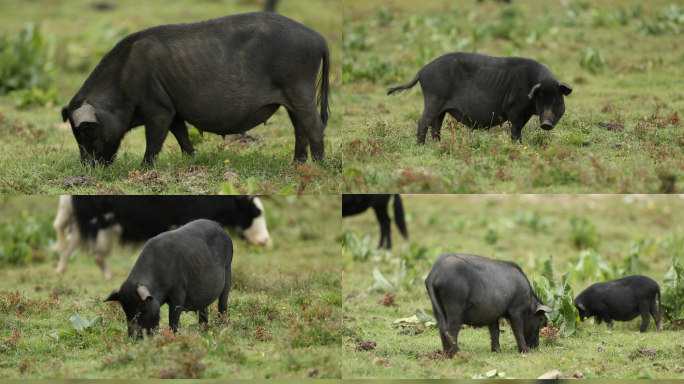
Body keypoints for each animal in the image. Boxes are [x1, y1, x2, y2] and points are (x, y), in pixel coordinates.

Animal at [52, 195, 270, 280]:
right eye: (255, 212)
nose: (265, 241)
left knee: (70, 245)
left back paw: (60, 271)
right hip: (99, 221)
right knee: (94, 252)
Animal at [103, 220, 232, 338]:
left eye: (141, 307)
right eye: (125, 310)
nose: (133, 336)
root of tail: (221, 228)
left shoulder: (179, 289)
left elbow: (173, 316)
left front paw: (172, 335)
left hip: (228, 268)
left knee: (223, 300)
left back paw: (222, 325)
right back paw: (202, 327)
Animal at [390, 53, 572, 143]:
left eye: (556, 99)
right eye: (540, 99)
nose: (546, 123)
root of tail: (421, 72)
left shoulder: (525, 113)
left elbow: (519, 127)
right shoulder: (513, 109)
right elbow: (515, 129)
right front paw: (518, 145)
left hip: (440, 107)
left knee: (436, 125)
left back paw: (437, 145)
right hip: (433, 99)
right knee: (422, 122)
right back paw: (421, 146)